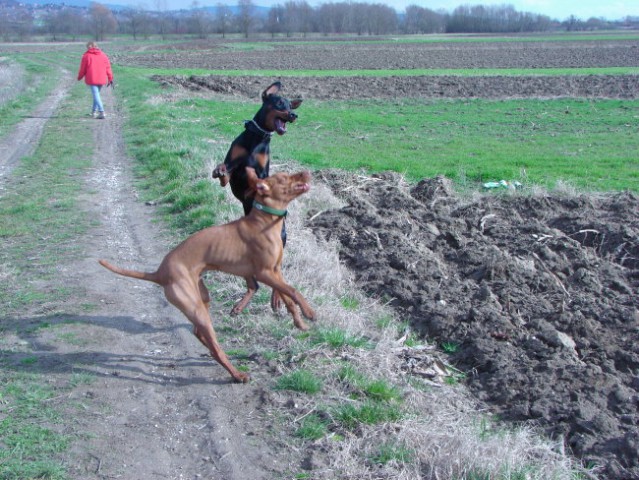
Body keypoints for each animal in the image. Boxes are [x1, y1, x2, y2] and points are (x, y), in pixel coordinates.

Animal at [99, 169, 316, 382]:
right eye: (284, 177)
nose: (307, 171)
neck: (263, 222)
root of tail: (159, 273)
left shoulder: (275, 271)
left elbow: (288, 297)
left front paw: (299, 322)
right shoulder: (263, 273)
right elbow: (293, 291)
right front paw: (309, 312)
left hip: (202, 298)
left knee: (200, 334)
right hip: (195, 307)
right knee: (214, 348)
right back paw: (237, 374)